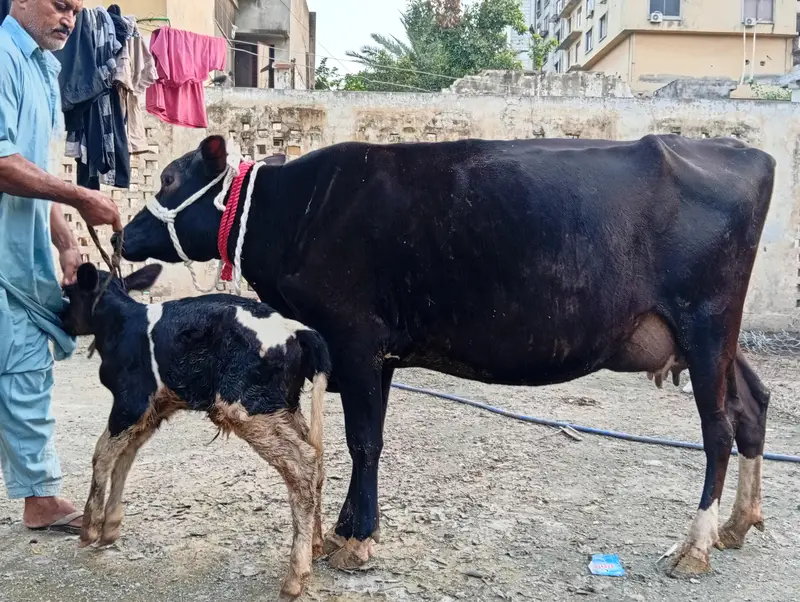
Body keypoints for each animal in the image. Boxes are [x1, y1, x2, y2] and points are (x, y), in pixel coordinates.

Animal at [113, 133, 775, 577]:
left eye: (168, 180)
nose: (121, 233)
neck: (296, 211)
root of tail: (746, 154)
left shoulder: (355, 338)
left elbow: (364, 441)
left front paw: (358, 541)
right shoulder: (375, 354)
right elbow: (365, 439)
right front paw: (346, 529)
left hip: (705, 322)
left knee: (717, 431)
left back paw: (695, 545)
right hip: (712, 339)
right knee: (752, 405)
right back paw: (737, 524)